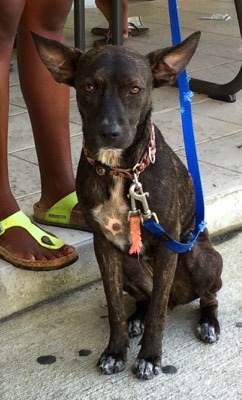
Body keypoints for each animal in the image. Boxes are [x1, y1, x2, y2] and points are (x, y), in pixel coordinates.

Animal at [32, 30, 223, 378]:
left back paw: (208, 323)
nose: (109, 132)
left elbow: (159, 311)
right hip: (129, 264)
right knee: (144, 300)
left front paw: (150, 356)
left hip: (199, 257)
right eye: (88, 87)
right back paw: (137, 318)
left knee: (205, 297)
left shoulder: (167, 246)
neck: (122, 170)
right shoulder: (104, 247)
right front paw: (116, 350)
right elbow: (115, 305)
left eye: (135, 89)